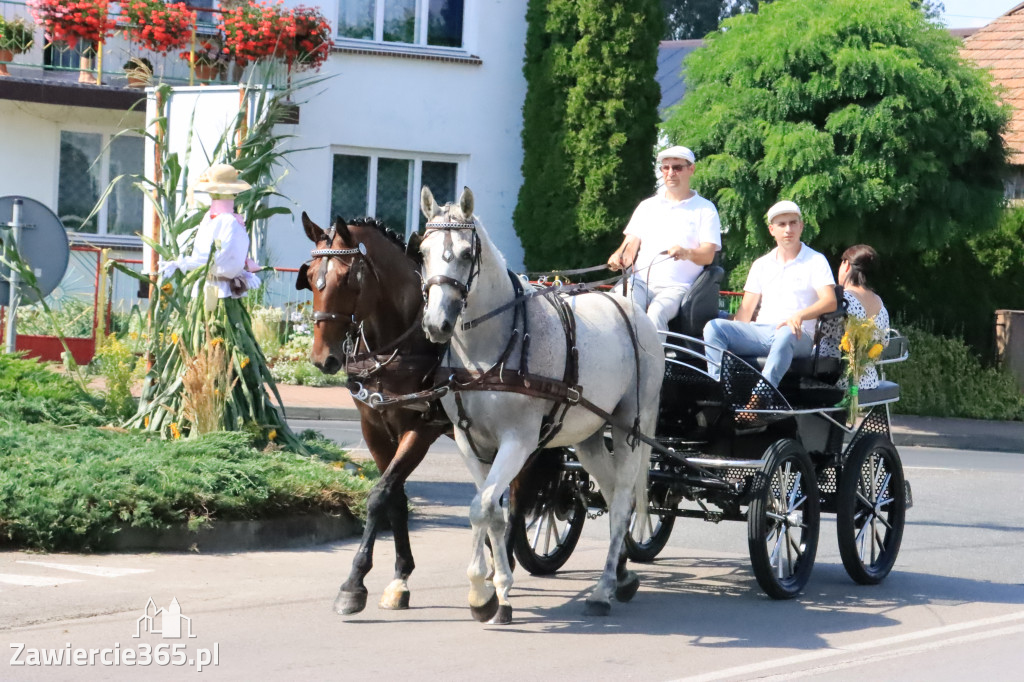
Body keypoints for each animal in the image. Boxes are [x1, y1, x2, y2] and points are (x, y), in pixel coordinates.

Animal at [299, 214, 454, 614]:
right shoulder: (375, 426)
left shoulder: (422, 428)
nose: (323, 358)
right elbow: (395, 497)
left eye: (347, 279)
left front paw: (353, 582)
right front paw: (400, 576)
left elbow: (379, 495)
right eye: (310, 276)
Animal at [415, 186, 663, 622]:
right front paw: (495, 590)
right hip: (588, 435)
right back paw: (621, 574)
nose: (436, 324)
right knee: (611, 489)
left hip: (631, 427)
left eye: (466, 253)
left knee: (622, 501)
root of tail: (635, 311)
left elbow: (482, 507)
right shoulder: (468, 442)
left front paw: (482, 592)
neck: (490, 349)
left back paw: (603, 589)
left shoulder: (519, 442)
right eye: (423, 251)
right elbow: (491, 512)